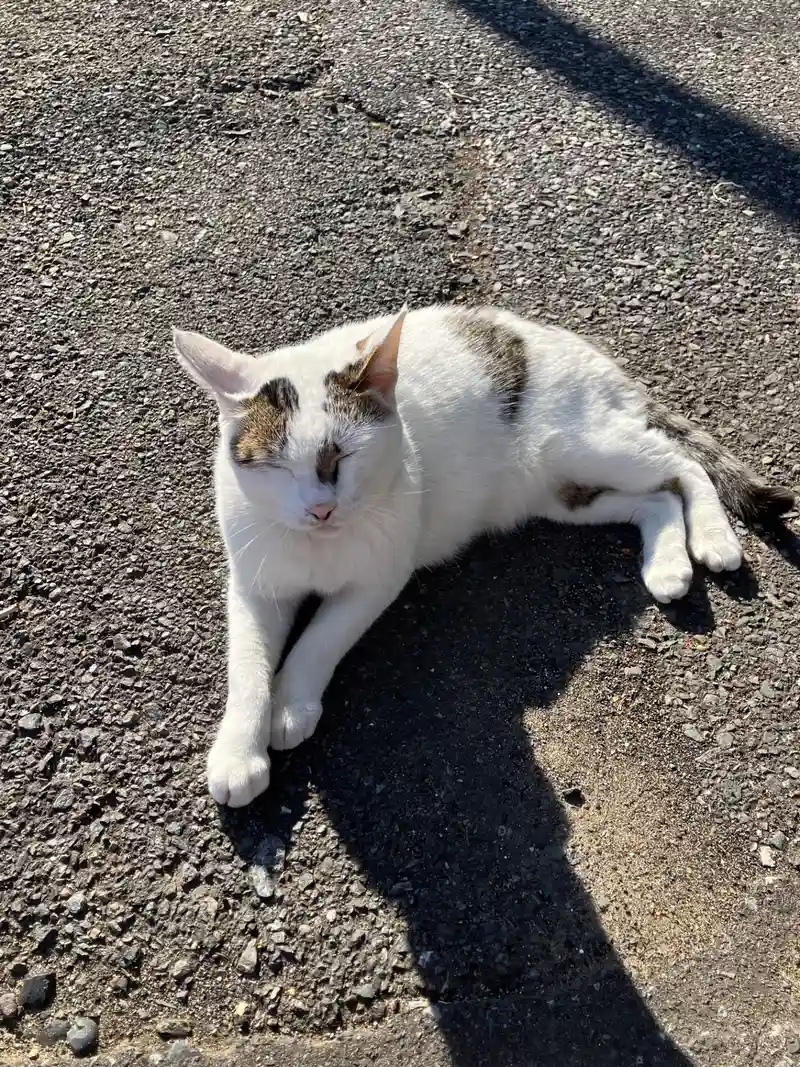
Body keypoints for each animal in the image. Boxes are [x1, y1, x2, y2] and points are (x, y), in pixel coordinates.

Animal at [171, 304, 794, 807]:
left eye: (342, 456)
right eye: (276, 467)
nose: (320, 509)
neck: (317, 548)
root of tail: (578, 346)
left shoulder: (380, 578)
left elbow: (322, 638)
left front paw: (293, 704)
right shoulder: (254, 585)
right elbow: (248, 666)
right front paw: (239, 752)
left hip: (585, 445)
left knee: (681, 465)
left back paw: (713, 540)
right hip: (559, 492)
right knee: (657, 498)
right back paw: (667, 565)